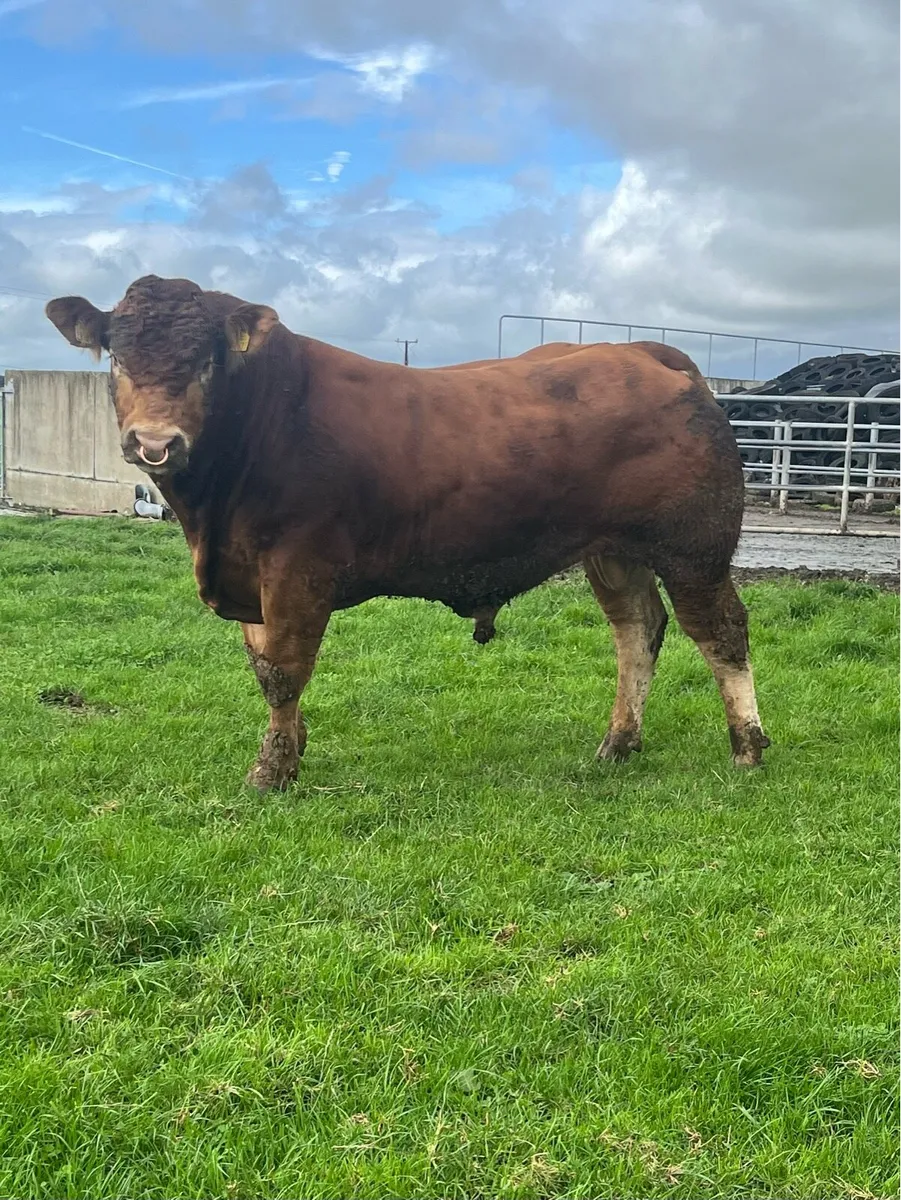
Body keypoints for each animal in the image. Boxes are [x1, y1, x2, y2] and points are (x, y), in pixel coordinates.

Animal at [45, 275, 769, 791]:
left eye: (205, 361)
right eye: (117, 358)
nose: (154, 442)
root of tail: (649, 353)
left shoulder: (297, 567)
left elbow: (283, 670)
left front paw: (271, 771)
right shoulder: (251, 576)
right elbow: (262, 665)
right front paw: (293, 748)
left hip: (693, 548)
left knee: (721, 632)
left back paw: (747, 747)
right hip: (613, 551)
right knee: (637, 631)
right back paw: (618, 743)